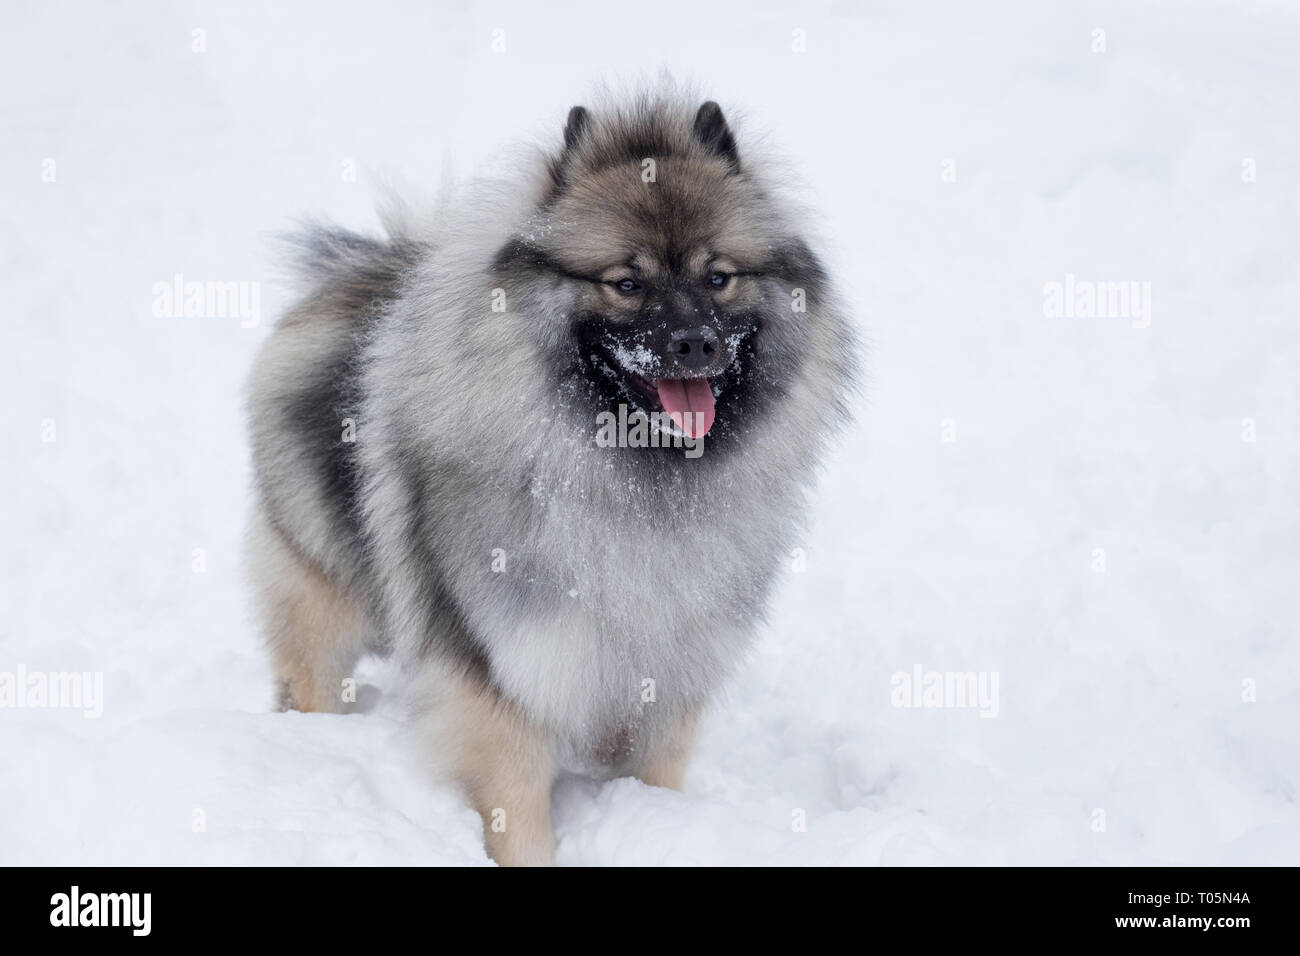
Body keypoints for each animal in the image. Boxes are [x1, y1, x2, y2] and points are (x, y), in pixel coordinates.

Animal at [245, 90, 857, 865]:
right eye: (626, 283)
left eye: (718, 277)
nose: (695, 344)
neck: (635, 487)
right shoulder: (507, 674)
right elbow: (519, 811)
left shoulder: (669, 680)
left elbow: (654, 779)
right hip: (320, 596)